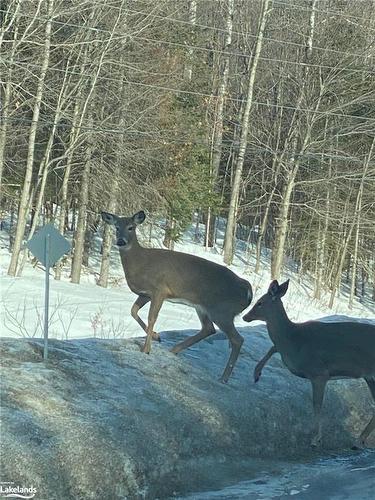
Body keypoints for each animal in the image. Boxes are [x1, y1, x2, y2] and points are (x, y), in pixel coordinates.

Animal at [100, 211, 253, 382]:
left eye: (131, 227)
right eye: (116, 227)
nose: (121, 241)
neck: (141, 264)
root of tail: (247, 289)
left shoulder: (160, 289)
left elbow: (152, 317)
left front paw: (146, 349)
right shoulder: (145, 294)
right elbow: (133, 311)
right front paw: (156, 336)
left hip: (222, 311)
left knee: (237, 339)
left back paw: (223, 377)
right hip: (203, 308)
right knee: (209, 329)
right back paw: (174, 350)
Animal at [244, 280, 375, 448]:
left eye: (260, 302)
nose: (245, 316)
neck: (293, 339)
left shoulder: (319, 372)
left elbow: (317, 405)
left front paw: (316, 439)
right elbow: (273, 348)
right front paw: (256, 373)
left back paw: (358, 440)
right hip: (369, 377)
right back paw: (358, 441)